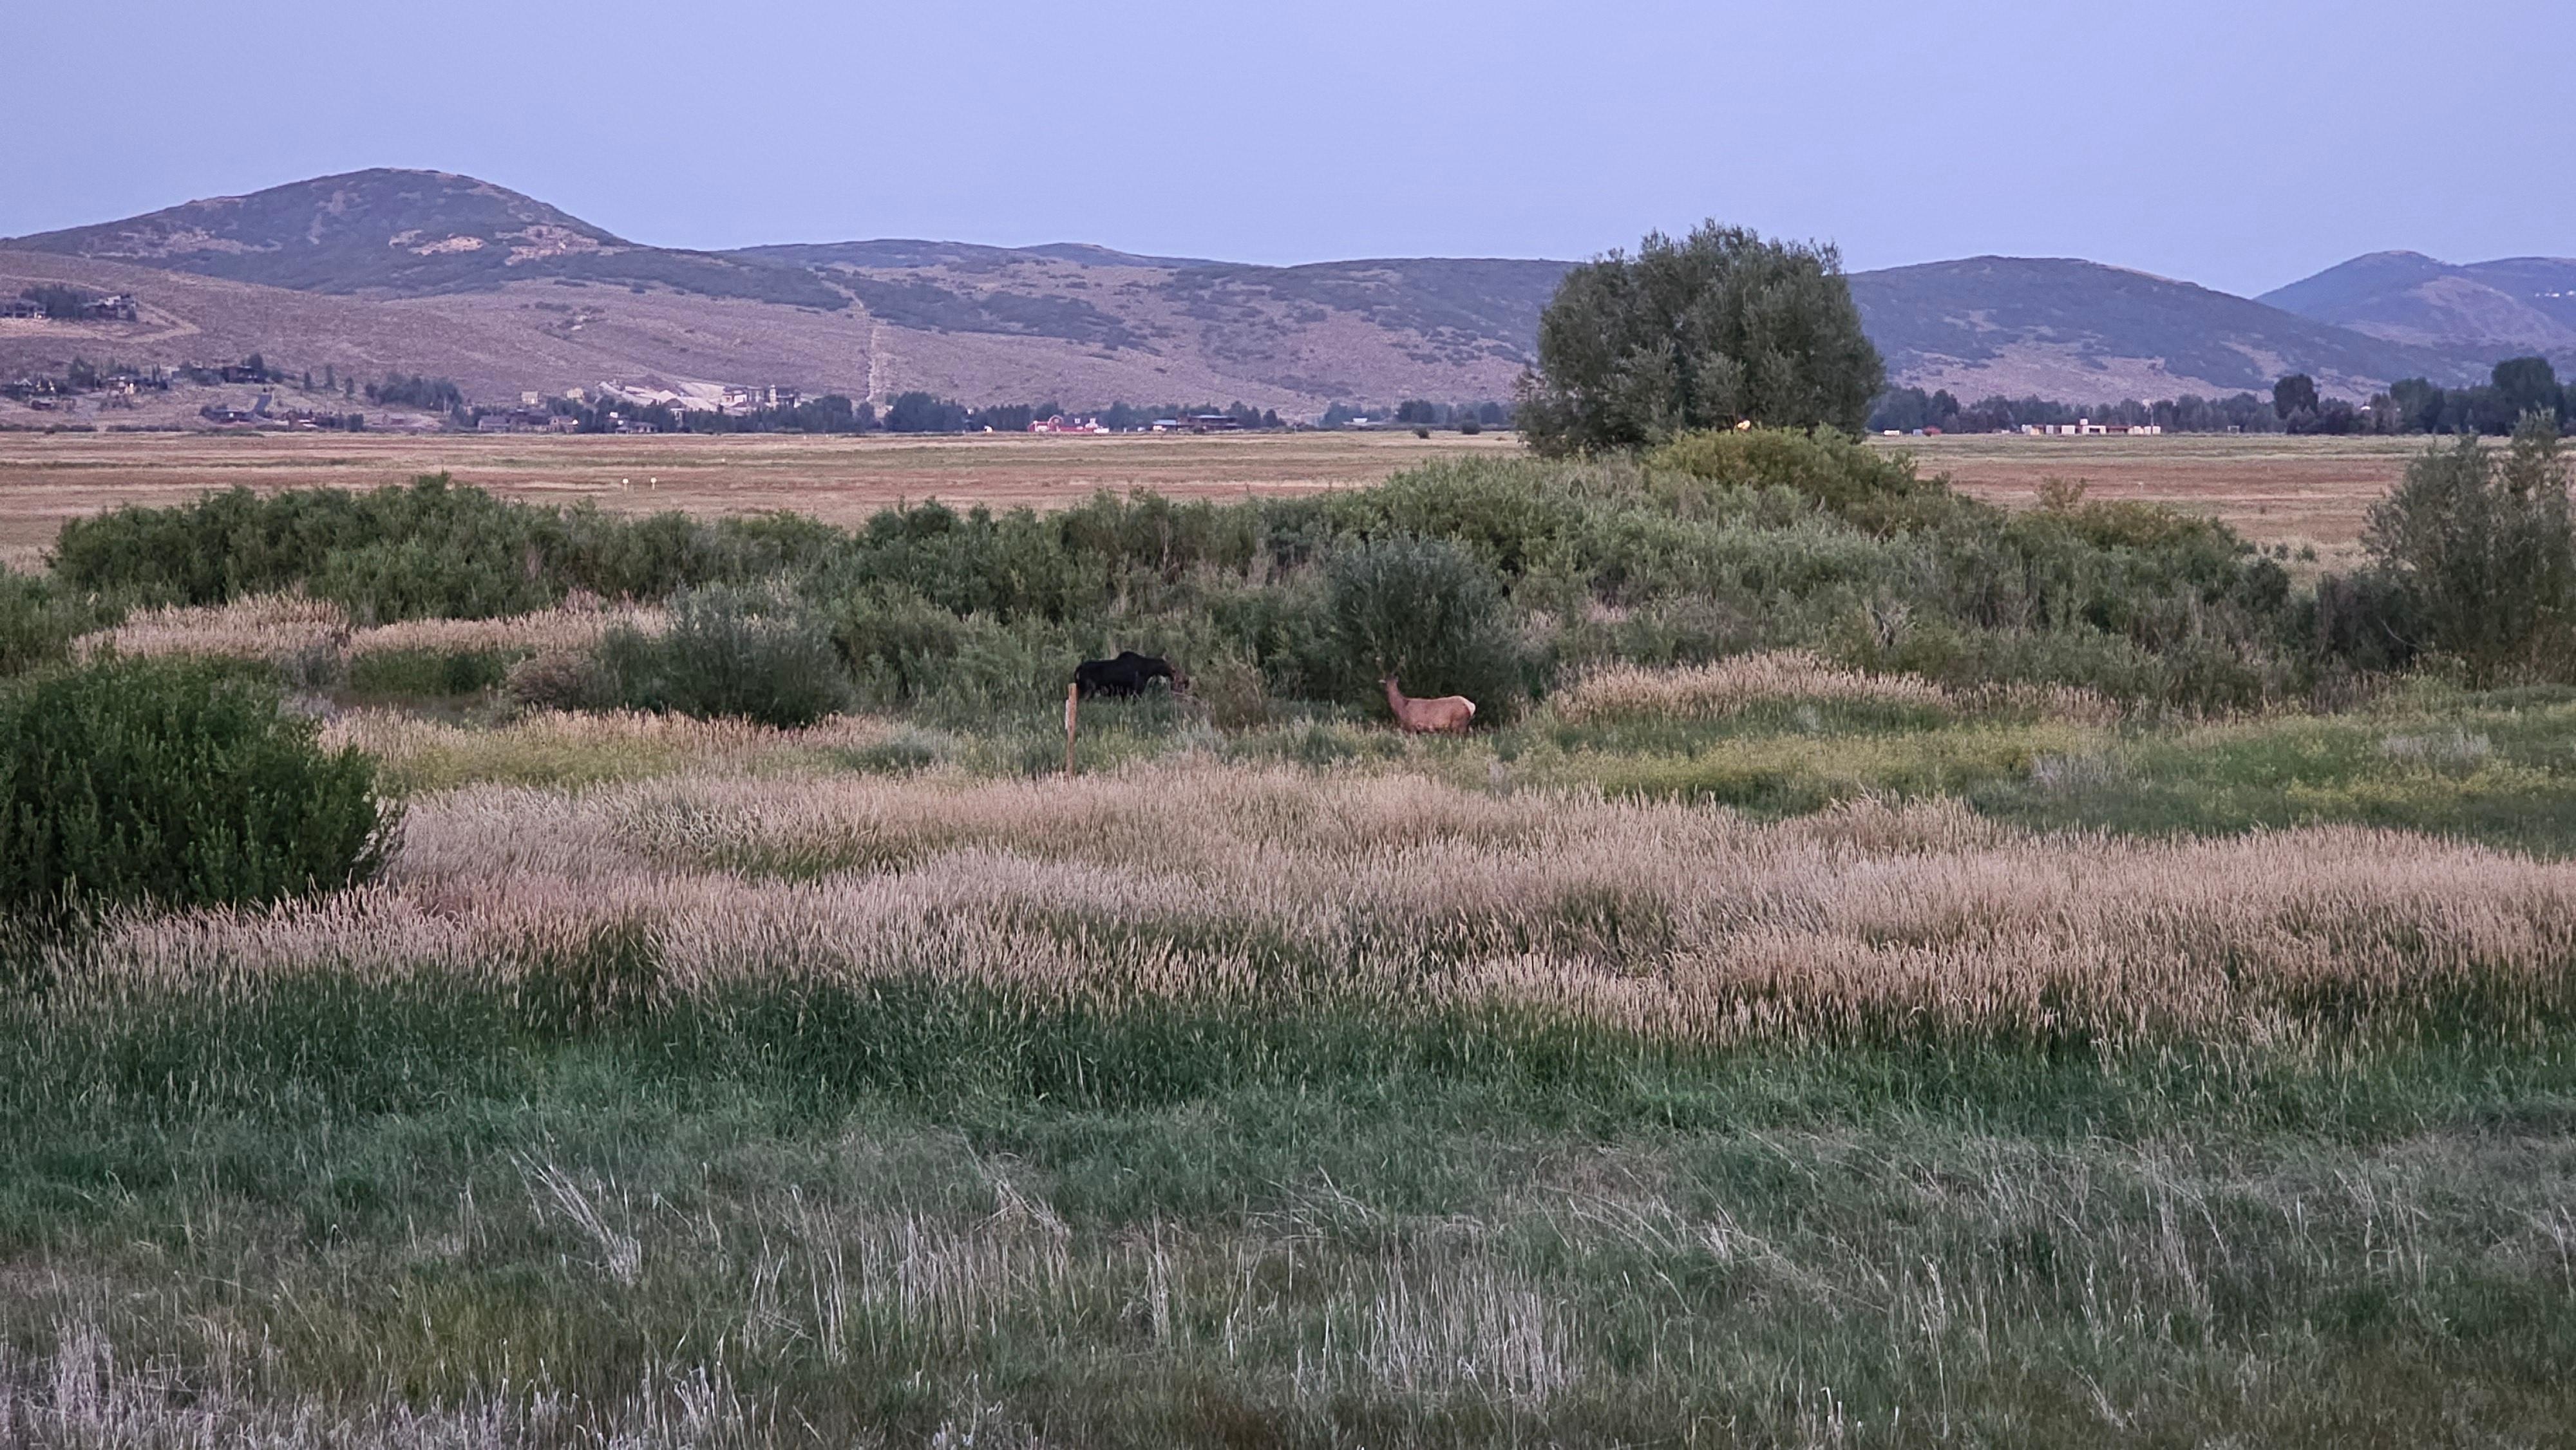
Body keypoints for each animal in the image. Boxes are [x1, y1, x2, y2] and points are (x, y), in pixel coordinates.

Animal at [1381, 676, 1476, 734]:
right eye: (1387, 683)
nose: (1387, 690)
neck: (1402, 707)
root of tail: (1472, 706)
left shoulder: (1410, 725)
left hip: (1459, 721)